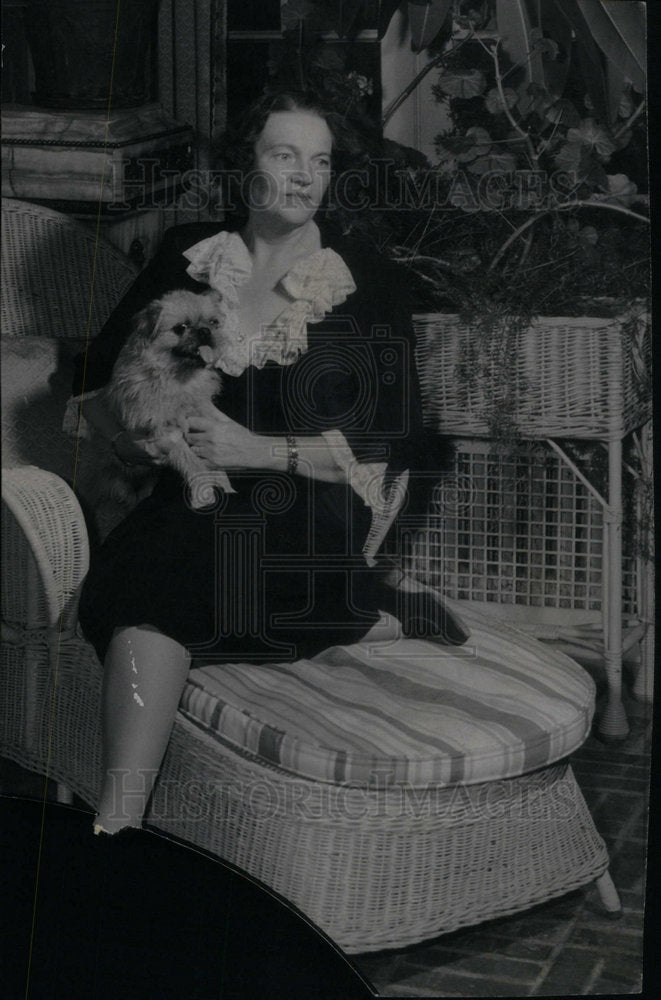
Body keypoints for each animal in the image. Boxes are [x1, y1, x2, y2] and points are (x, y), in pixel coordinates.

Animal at [76, 290, 232, 540]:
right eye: (181, 327)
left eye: (213, 323)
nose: (205, 331)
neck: (177, 379)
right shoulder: (167, 435)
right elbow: (193, 464)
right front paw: (205, 493)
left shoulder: (201, 420)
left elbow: (214, 462)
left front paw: (225, 486)